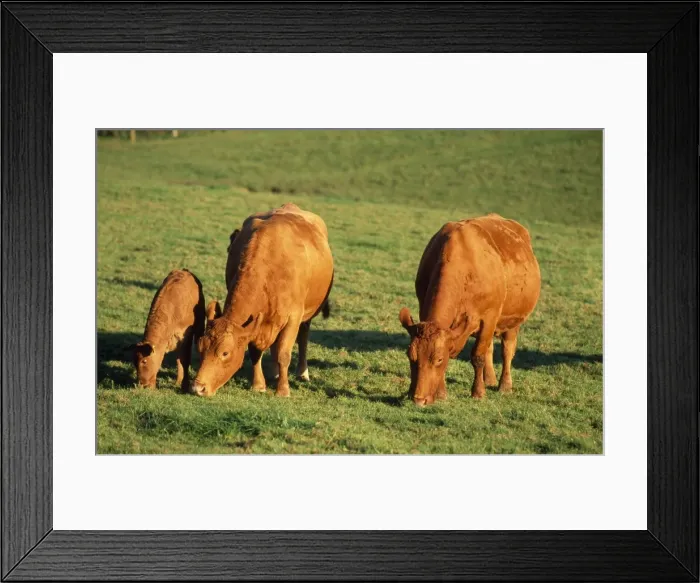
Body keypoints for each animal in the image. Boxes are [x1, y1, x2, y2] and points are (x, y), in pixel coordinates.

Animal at [193, 203, 334, 397]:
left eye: (225, 353)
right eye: (200, 348)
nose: (198, 388)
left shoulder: (293, 318)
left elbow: (284, 354)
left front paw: (283, 390)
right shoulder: (255, 324)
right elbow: (255, 352)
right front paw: (259, 384)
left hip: (307, 314)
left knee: (303, 337)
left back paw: (302, 372)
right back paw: (274, 372)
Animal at [398, 213, 540, 406]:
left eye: (438, 359)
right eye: (410, 356)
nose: (418, 399)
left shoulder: (489, 317)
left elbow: (477, 355)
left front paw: (478, 392)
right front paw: (441, 393)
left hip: (513, 321)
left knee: (507, 350)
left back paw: (504, 385)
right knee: (489, 348)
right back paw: (490, 379)